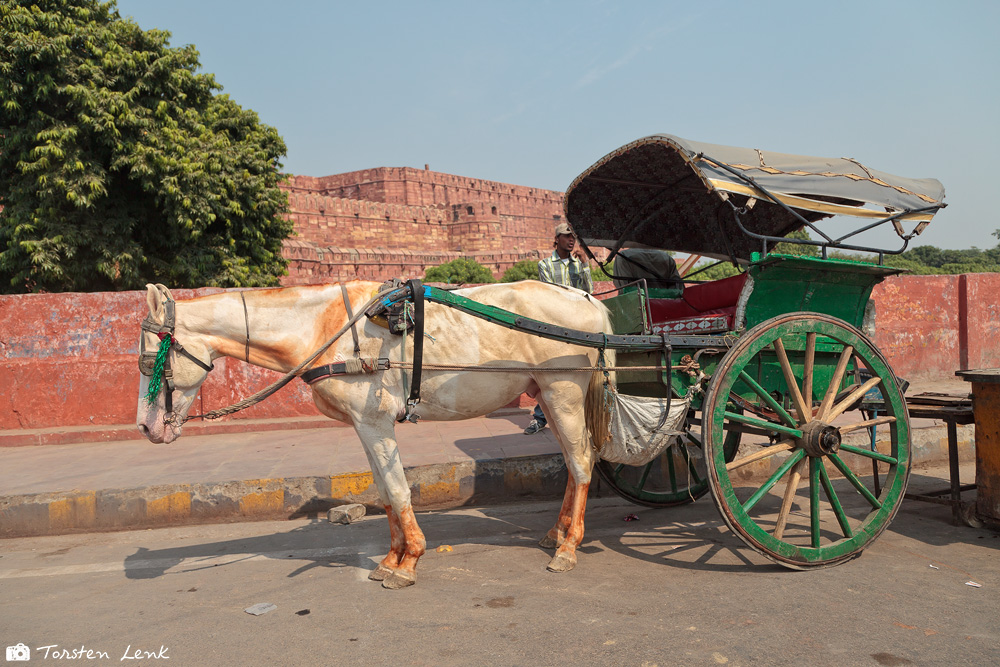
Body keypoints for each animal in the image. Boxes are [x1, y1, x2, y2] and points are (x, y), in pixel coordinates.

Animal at [137, 282, 612, 588]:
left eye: (149, 361)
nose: (146, 426)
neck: (323, 327)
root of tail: (588, 300)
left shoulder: (376, 421)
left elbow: (399, 490)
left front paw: (410, 561)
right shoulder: (363, 426)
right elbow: (383, 492)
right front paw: (391, 557)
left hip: (564, 389)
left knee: (581, 462)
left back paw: (568, 547)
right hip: (546, 393)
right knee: (574, 460)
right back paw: (556, 532)